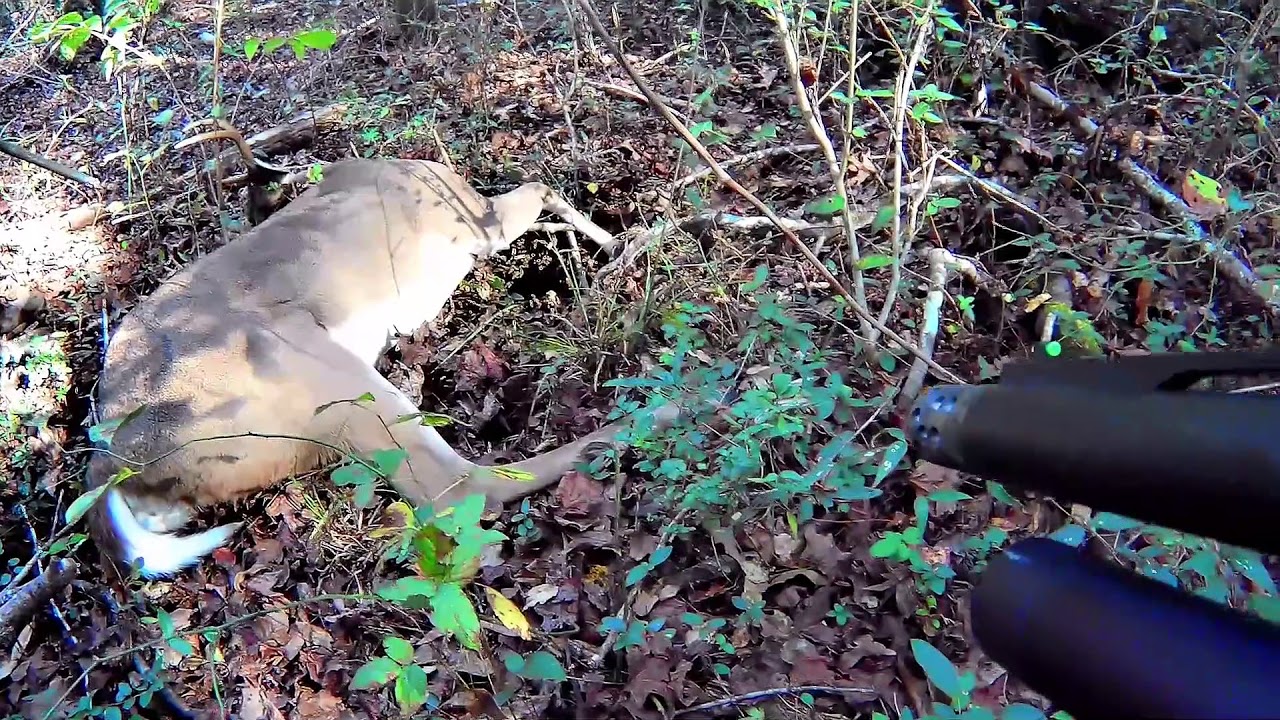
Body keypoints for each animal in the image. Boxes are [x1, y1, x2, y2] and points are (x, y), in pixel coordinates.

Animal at [84, 146, 681, 580]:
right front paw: (631, 240)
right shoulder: (476, 222)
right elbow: (543, 187)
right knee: (461, 485)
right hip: (311, 368)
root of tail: (114, 466)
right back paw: (660, 413)